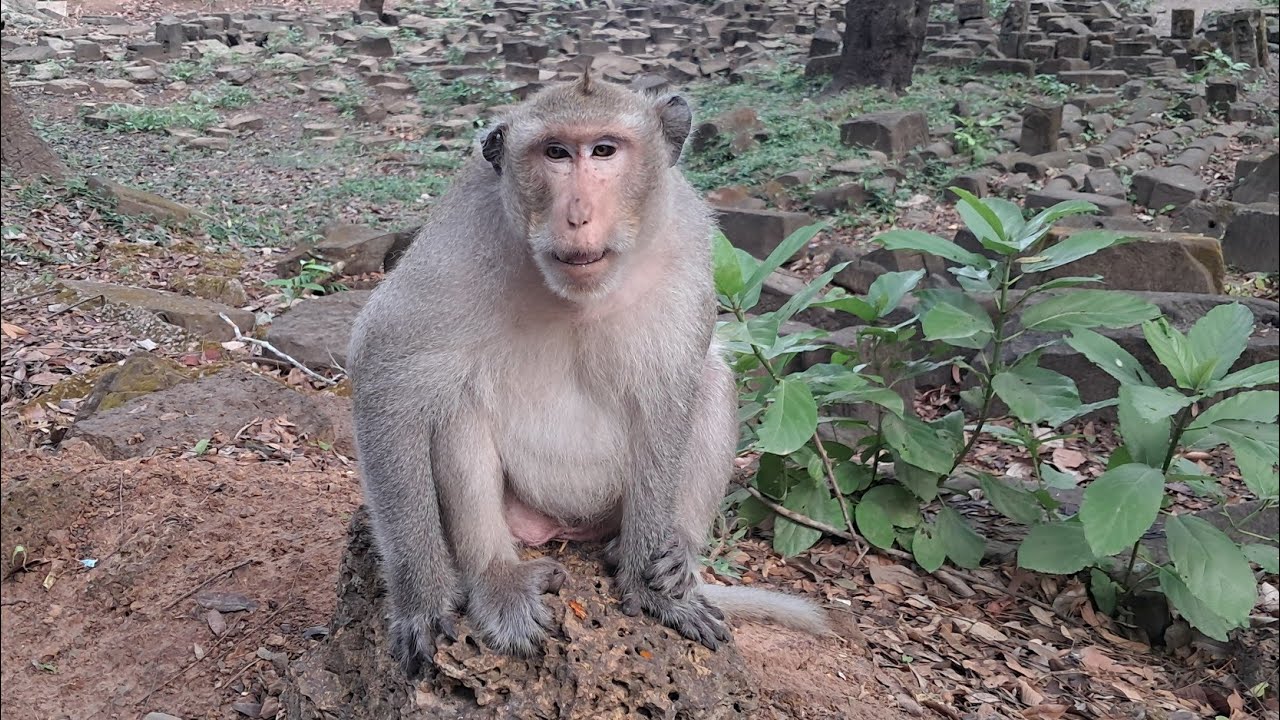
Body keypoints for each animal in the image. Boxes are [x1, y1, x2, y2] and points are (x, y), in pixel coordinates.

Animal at [347, 69, 830, 678]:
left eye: (603, 151)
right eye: (555, 153)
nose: (577, 215)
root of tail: (566, 529)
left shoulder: (686, 237)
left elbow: (670, 390)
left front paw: (652, 589)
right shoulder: (461, 237)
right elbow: (386, 372)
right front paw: (422, 602)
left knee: (712, 378)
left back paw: (674, 553)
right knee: (456, 405)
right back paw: (498, 578)